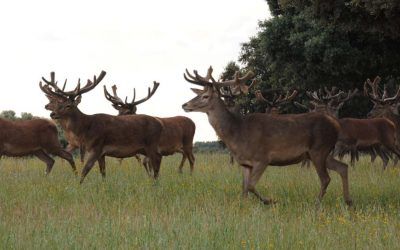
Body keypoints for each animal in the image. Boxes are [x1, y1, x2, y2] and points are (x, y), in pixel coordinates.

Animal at [183, 66, 352, 205]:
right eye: (200, 93)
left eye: (205, 96)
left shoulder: (262, 158)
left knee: (326, 178)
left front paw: (270, 201)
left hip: (319, 149)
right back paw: (348, 201)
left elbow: (251, 186)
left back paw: (316, 204)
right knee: (343, 167)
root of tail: (335, 124)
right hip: (320, 153)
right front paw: (244, 207)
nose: (185, 105)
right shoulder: (245, 163)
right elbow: (244, 188)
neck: (238, 134)